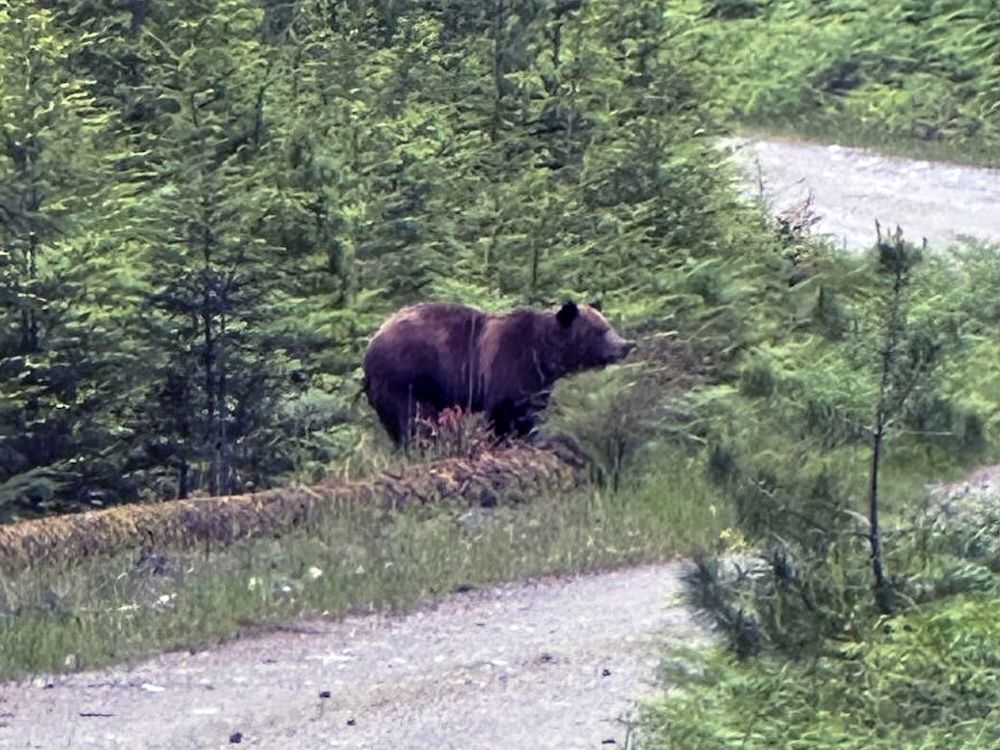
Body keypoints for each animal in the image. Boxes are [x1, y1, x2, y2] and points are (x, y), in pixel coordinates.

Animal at [361, 299, 635, 446]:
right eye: (600, 330)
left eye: (608, 325)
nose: (626, 345)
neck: (544, 355)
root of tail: (371, 343)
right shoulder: (507, 366)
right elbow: (506, 412)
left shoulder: (537, 383)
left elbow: (530, 411)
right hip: (405, 379)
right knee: (413, 419)